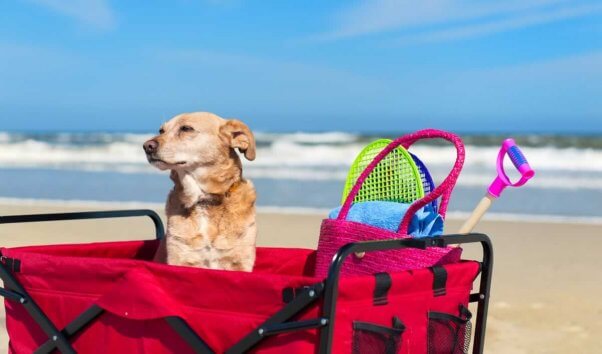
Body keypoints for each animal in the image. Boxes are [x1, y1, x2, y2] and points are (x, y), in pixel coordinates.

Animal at [145, 112, 258, 272]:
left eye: (186, 128)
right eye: (161, 130)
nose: (147, 146)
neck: (203, 200)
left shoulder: (240, 263)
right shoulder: (180, 259)